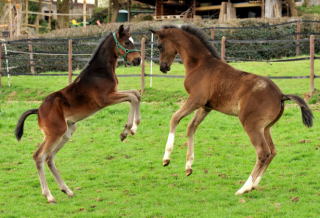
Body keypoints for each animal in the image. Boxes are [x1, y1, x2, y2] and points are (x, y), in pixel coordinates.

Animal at [14, 25, 141, 203]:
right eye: (127, 42)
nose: (138, 60)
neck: (100, 71)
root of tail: (38, 111)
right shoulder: (106, 99)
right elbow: (133, 96)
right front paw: (128, 130)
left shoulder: (114, 94)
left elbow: (135, 94)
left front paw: (131, 129)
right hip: (55, 133)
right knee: (39, 156)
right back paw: (49, 195)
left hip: (67, 133)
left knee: (49, 158)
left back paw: (66, 190)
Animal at [151, 26, 314, 196]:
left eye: (159, 46)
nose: (163, 67)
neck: (200, 65)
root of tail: (281, 95)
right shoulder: (206, 106)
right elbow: (191, 127)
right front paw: (188, 167)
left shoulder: (196, 99)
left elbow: (174, 118)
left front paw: (166, 159)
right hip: (265, 128)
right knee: (272, 152)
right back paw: (254, 185)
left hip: (251, 125)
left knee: (263, 153)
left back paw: (244, 188)